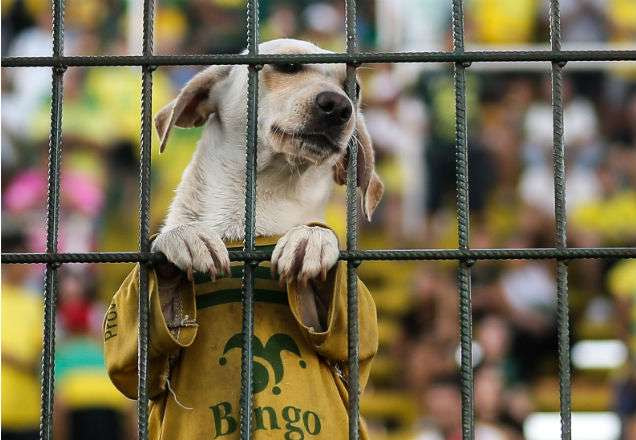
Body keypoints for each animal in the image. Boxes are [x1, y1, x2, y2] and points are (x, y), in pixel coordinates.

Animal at [104, 39, 382, 438]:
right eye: (288, 67)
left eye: (354, 88)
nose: (339, 106)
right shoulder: (144, 370)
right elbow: (132, 362)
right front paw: (182, 239)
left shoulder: (351, 363)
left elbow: (350, 343)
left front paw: (312, 240)